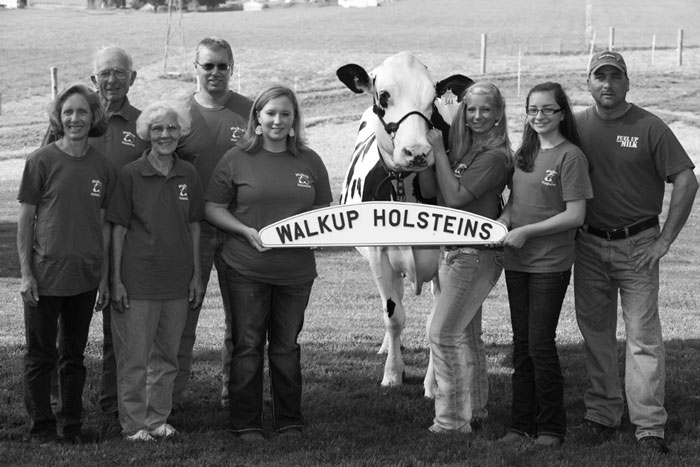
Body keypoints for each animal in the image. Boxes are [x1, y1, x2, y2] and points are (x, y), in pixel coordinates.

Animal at [336, 52, 474, 394]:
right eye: (384, 95)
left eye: (432, 99)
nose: (418, 152)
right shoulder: (378, 255)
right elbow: (394, 315)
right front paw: (392, 373)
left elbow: (436, 322)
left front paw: (435, 383)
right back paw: (388, 347)